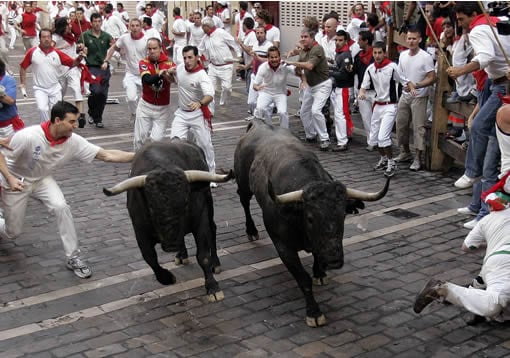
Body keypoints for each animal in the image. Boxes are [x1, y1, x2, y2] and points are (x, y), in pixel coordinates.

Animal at [103, 139, 233, 302]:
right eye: (151, 206)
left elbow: (203, 256)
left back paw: (215, 264)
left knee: (213, 229)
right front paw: (167, 278)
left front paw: (213, 287)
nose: (172, 245)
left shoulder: (200, 220)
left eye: (185, 202)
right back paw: (181, 255)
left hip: (208, 205)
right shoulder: (139, 230)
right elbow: (149, 257)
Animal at [235, 121, 390, 328]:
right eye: (310, 218)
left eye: (342, 215)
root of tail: (257, 124)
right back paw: (251, 230)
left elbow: (317, 255)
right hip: (243, 184)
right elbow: (303, 279)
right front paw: (314, 312)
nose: (334, 260)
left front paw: (320, 273)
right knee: (244, 201)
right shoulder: (283, 247)